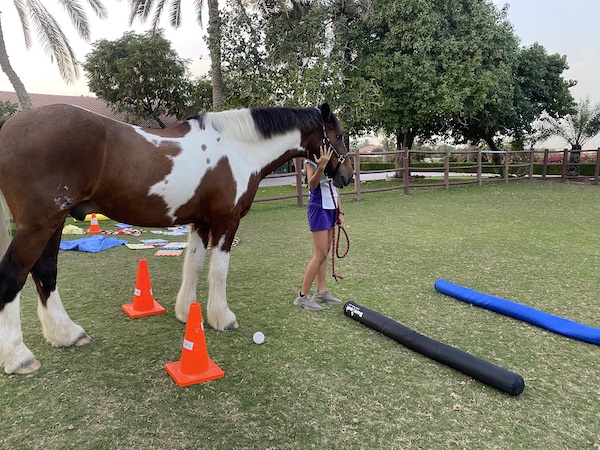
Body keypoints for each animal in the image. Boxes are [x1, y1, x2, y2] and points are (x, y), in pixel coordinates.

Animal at [0, 103, 352, 374]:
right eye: (338, 134)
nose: (346, 176)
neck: (237, 148)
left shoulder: (200, 222)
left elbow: (192, 264)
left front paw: (186, 312)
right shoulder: (226, 222)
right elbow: (218, 270)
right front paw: (222, 318)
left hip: (54, 222)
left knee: (45, 272)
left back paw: (67, 334)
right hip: (38, 225)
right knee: (13, 277)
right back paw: (19, 357)